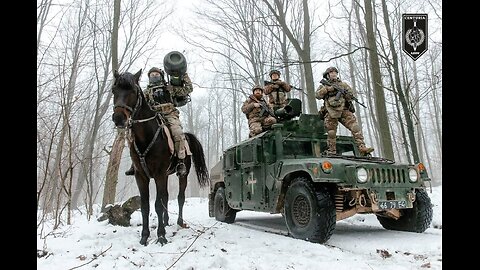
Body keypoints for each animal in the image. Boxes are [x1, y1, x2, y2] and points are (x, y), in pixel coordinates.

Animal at [112, 69, 210, 245]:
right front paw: (144, 236)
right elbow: (145, 206)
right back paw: (165, 221)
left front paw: (161, 236)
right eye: (113, 90)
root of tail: (186, 136)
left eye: (133, 91)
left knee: (179, 197)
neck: (146, 137)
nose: (118, 118)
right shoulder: (141, 176)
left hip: (181, 174)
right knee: (166, 197)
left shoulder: (159, 174)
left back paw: (179, 222)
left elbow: (158, 204)